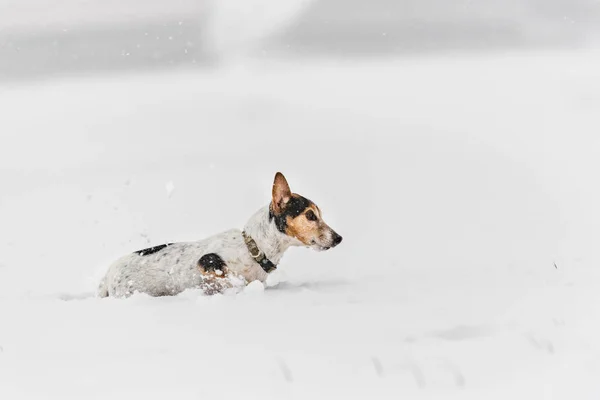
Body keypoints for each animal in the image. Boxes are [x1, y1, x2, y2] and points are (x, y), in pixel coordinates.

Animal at [98, 172, 342, 296]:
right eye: (310, 215)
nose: (339, 238)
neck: (255, 248)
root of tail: (107, 275)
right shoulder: (208, 262)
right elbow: (224, 275)